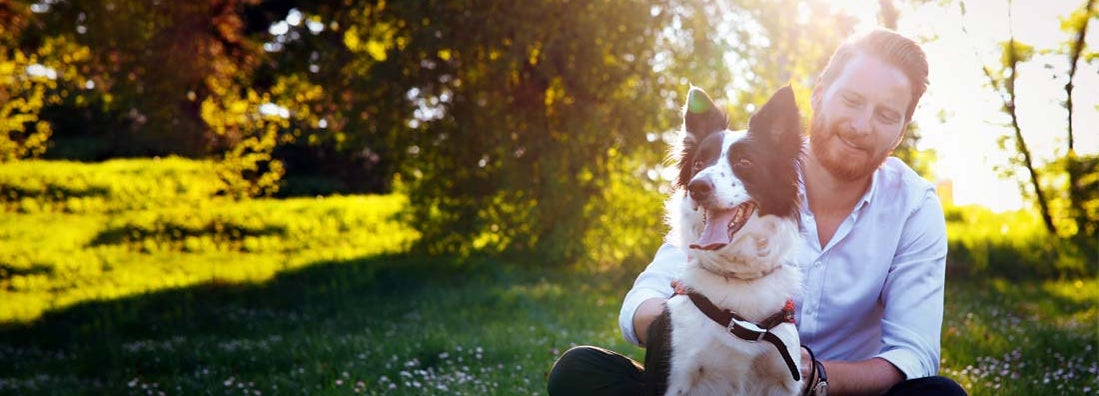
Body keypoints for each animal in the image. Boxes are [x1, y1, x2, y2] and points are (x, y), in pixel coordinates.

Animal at [641, 85, 808, 393]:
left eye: (745, 162)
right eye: (698, 163)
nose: (697, 187)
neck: (737, 276)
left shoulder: (782, 379)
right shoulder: (674, 377)